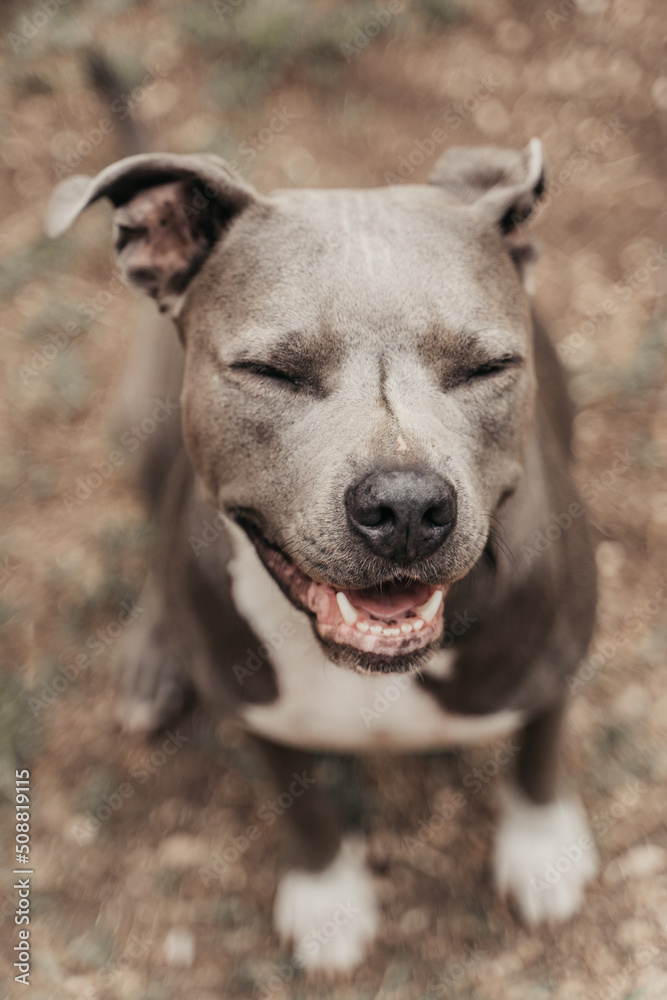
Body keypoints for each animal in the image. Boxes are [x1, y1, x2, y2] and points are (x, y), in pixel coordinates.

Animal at [47, 138, 599, 971]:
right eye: (268, 371)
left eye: (487, 367)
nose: (405, 507)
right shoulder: (261, 714)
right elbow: (302, 807)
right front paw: (326, 900)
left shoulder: (554, 665)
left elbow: (536, 757)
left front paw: (540, 853)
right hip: (139, 433)